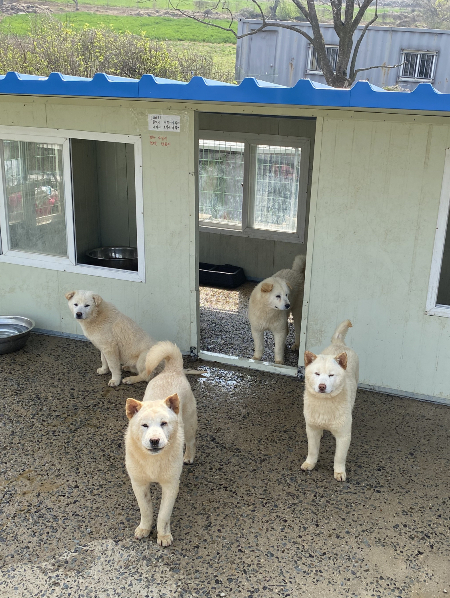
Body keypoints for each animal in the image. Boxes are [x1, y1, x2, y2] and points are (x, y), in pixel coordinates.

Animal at [66, 292, 201, 390]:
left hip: (144, 357)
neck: (96, 315)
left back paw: (130, 379)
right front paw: (104, 370)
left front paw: (115, 380)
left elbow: (113, 365)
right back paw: (128, 368)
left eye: (87, 305)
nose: (78, 314)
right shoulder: (103, 346)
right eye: (75, 304)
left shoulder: (110, 347)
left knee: (147, 376)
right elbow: (104, 360)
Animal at [125, 342, 198, 548]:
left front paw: (163, 535)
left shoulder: (171, 485)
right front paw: (144, 529)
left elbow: (164, 515)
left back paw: (189, 456)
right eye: (144, 425)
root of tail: (171, 370)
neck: (153, 461)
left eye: (164, 423)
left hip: (190, 423)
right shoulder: (139, 484)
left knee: (191, 441)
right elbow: (146, 510)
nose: (155, 440)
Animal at [300, 322, 360, 486]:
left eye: (331, 375)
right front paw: (310, 463)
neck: (324, 405)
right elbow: (312, 450)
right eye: (317, 374)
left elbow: (339, 457)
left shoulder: (344, 435)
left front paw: (339, 472)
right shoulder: (311, 429)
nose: (322, 386)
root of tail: (339, 344)